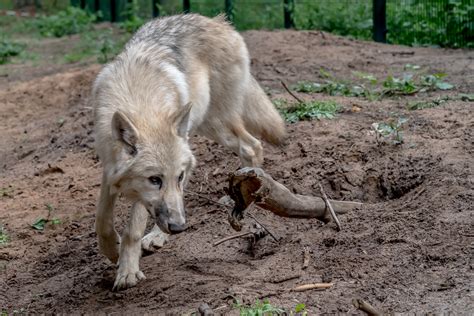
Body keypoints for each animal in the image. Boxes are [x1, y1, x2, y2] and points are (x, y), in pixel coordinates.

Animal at [91, 14, 286, 292]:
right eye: (154, 179)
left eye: (177, 176)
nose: (179, 227)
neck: (139, 101)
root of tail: (221, 23)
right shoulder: (110, 169)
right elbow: (102, 221)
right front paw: (112, 251)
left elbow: (132, 229)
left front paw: (127, 271)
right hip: (203, 125)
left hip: (216, 123)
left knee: (252, 145)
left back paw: (248, 192)